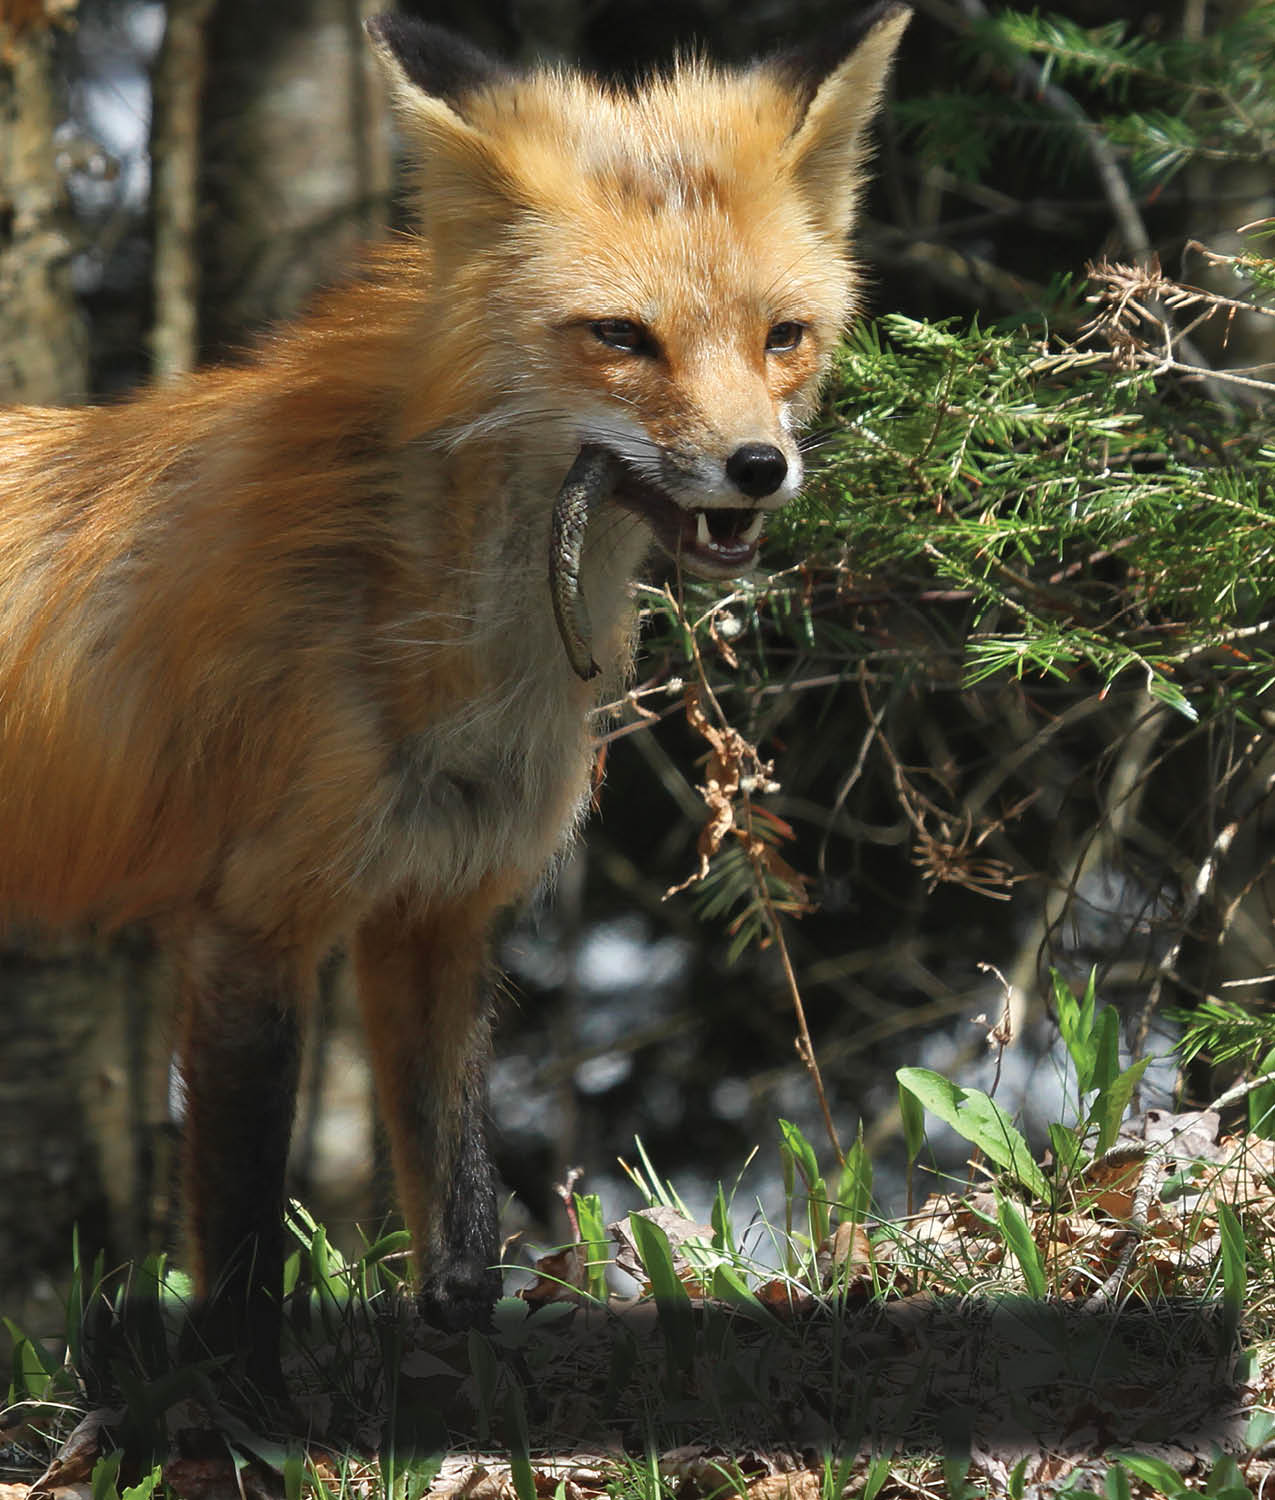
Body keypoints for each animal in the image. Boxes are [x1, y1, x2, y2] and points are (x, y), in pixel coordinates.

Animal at [2, 2, 906, 1362]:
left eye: (781, 337)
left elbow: (460, 1210)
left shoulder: (436, 906)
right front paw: (244, 1408)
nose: (759, 467)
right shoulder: (251, 923)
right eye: (621, 337)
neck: (448, 652)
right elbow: (245, 1257)